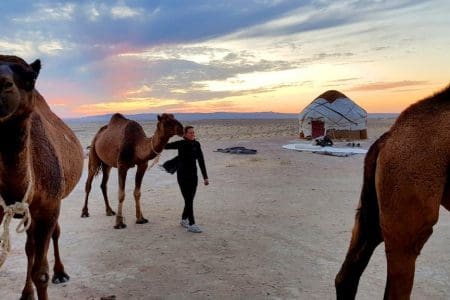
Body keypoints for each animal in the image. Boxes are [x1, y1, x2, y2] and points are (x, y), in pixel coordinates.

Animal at [0, 54, 83, 300]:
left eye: (30, 78)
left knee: (54, 234)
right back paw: (27, 293)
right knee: (30, 248)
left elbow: (42, 273)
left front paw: (52, 275)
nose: (0, 83)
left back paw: (61, 273)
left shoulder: (49, 207)